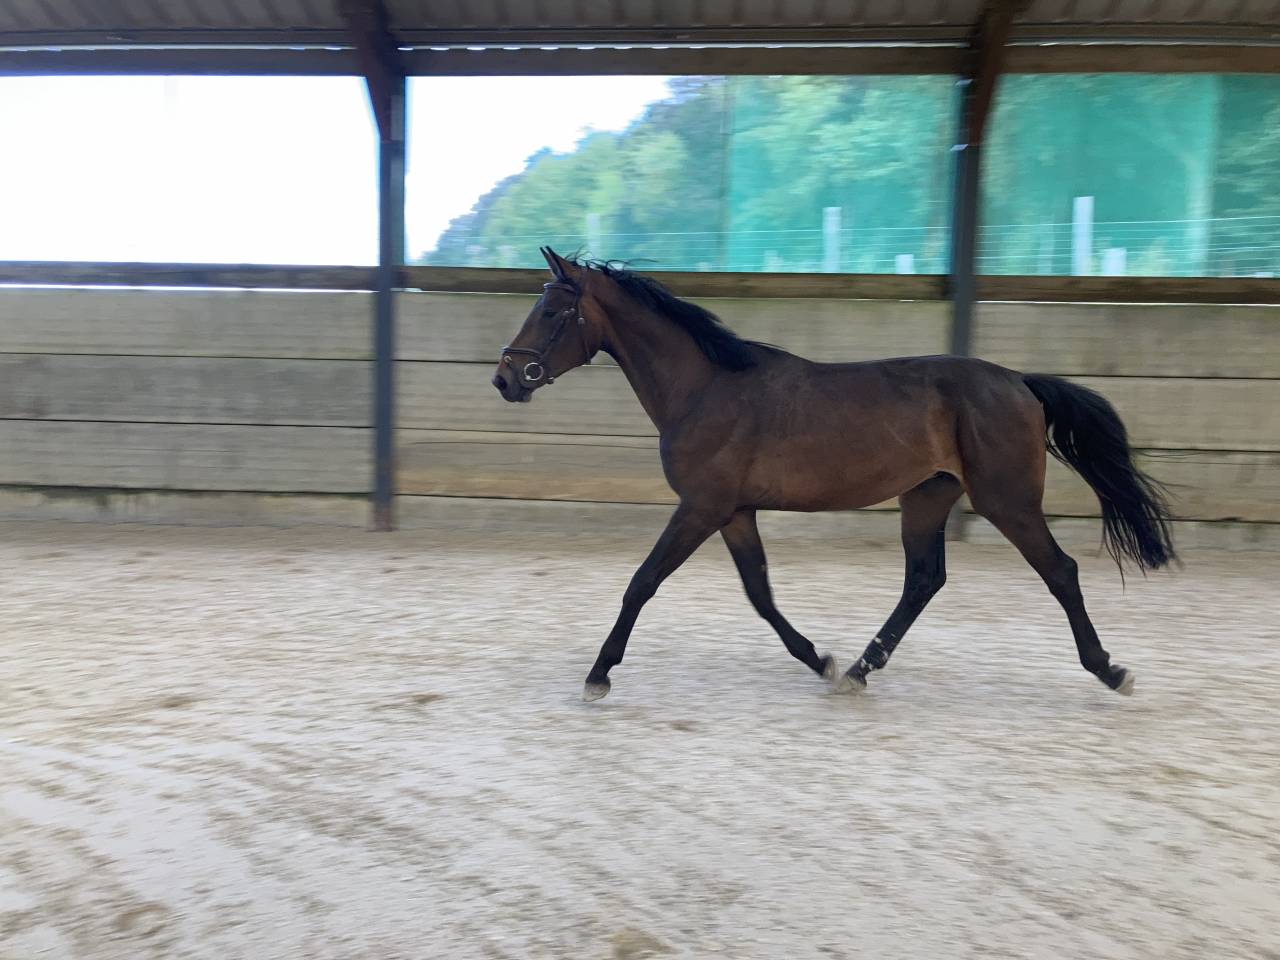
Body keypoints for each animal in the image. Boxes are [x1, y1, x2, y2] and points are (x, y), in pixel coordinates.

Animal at [491, 247, 1176, 702]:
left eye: (551, 311)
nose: (505, 378)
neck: (706, 388)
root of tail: (1019, 383)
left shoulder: (701, 506)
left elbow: (642, 583)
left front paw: (598, 674)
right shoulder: (733, 511)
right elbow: (760, 594)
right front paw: (818, 658)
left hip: (1007, 501)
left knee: (1060, 571)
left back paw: (1111, 670)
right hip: (926, 497)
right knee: (924, 579)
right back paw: (858, 670)